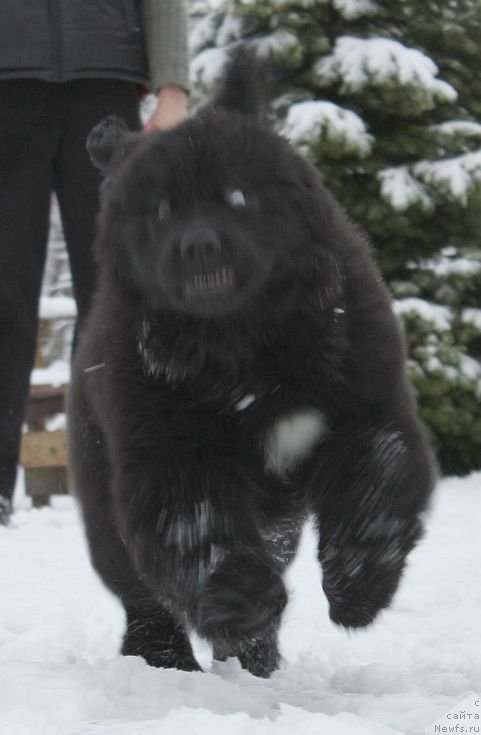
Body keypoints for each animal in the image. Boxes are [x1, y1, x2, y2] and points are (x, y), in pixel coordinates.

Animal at [70, 50, 436, 680]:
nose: (197, 245)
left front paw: (358, 586)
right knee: (142, 595)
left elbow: (374, 480)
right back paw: (167, 658)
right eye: (160, 210)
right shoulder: (171, 450)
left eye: (237, 197)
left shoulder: (367, 407)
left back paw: (256, 661)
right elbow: (199, 527)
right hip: (102, 500)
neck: (246, 348)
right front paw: (243, 598)